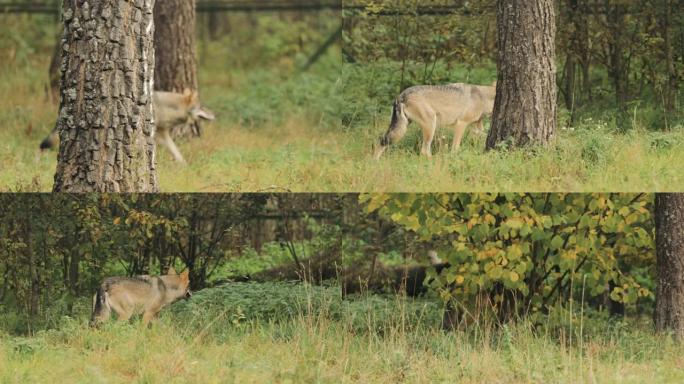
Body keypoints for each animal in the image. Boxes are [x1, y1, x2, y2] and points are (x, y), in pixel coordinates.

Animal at [39, 90, 214, 164]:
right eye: (203, 107)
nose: (214, 115)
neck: (166, 108)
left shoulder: (163, 135)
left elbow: (177, 153)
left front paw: (184, 166)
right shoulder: (153, 134)